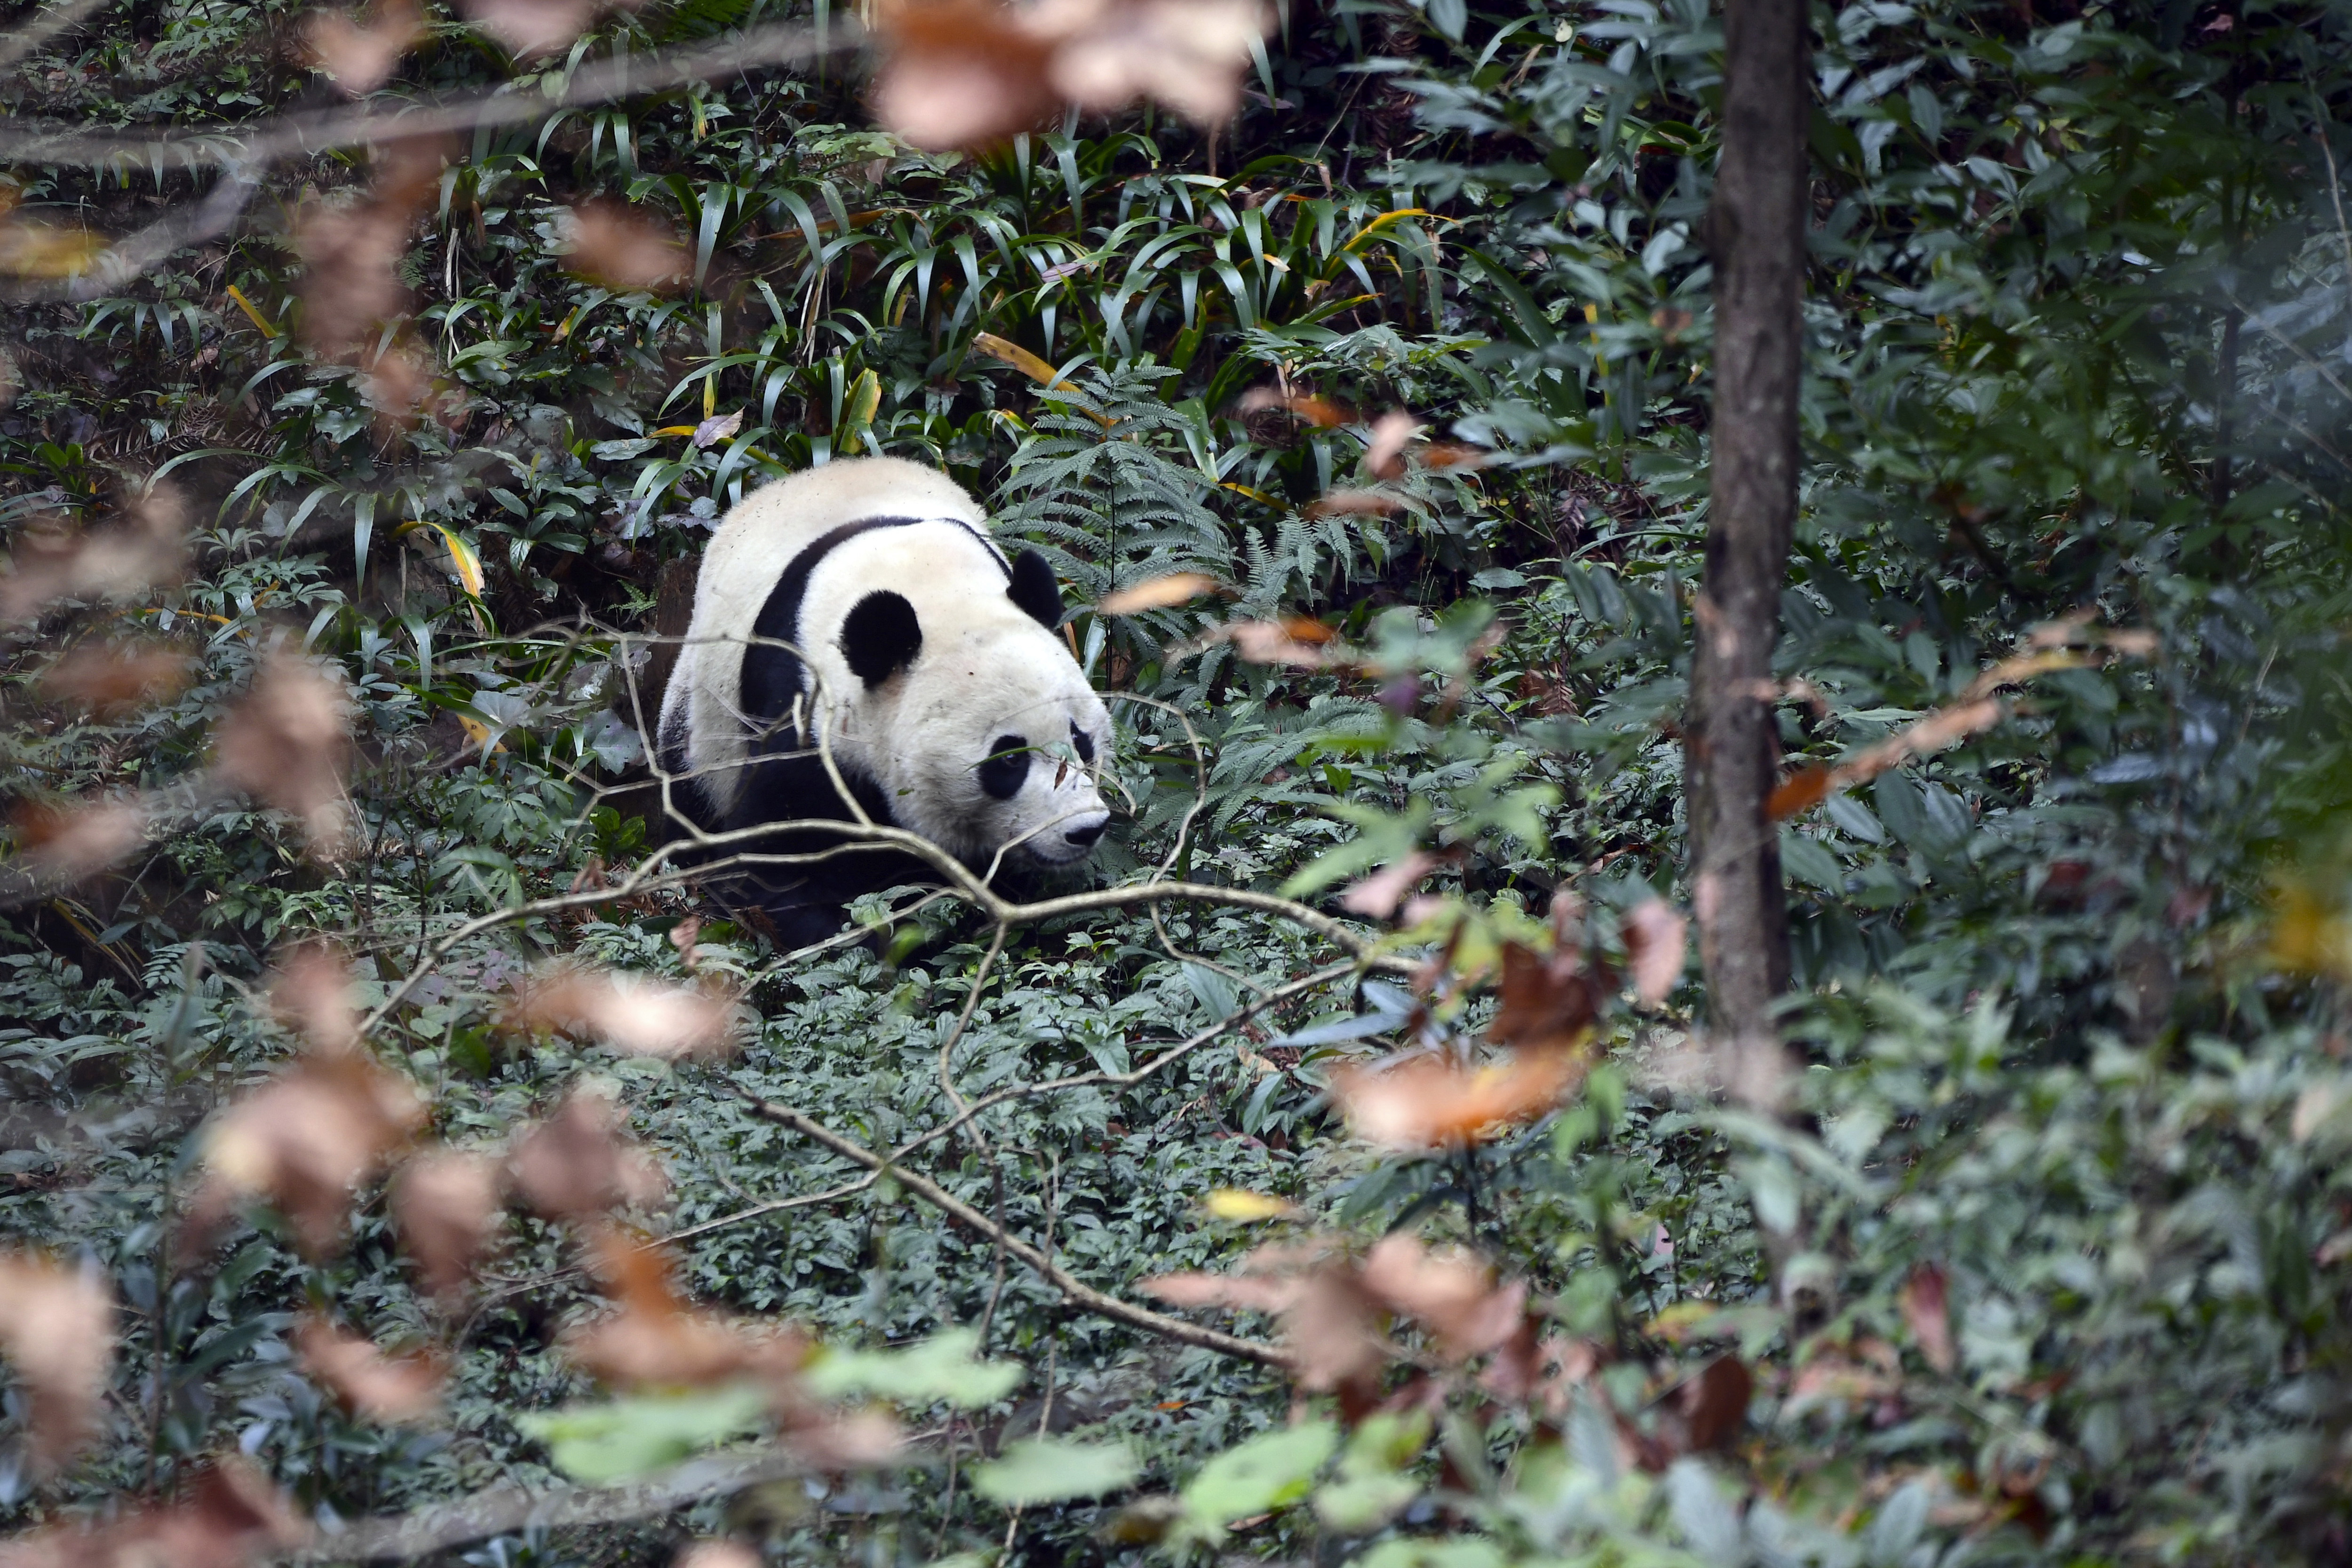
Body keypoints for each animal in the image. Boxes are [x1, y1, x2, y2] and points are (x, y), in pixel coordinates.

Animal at [654, 453, 1110, 945]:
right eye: (1009, 759)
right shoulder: (801, 701)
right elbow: (779, 859)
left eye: (1081, 740)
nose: (1085, 829)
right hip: (702, 712)